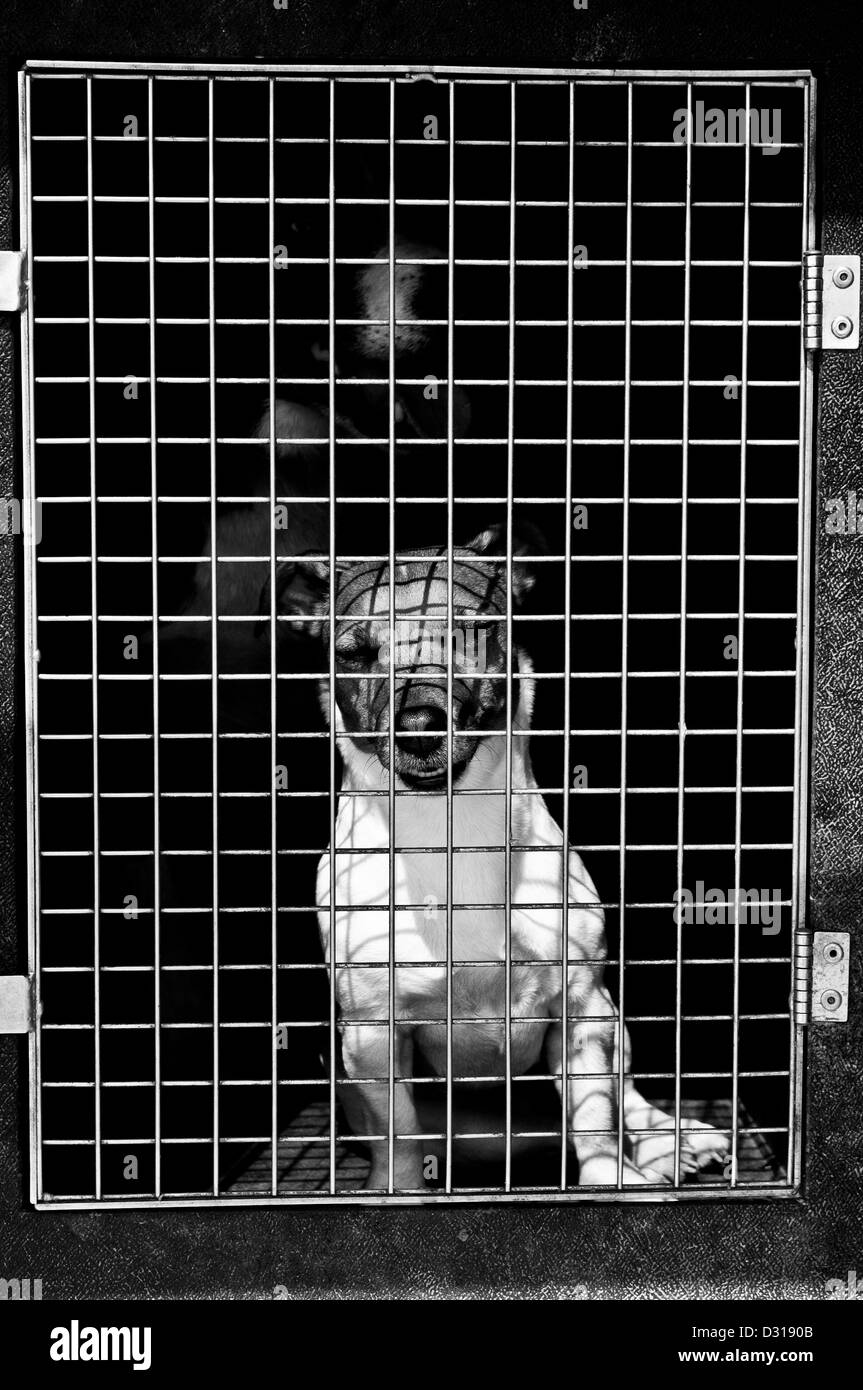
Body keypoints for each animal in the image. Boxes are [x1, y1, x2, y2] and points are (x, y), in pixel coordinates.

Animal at [269, 525, 728, 1189]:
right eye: (353, 653)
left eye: (472, 634)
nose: (418, 725)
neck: (451, 833)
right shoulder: (371, 1035)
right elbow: (398, 1131)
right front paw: (396, 1190)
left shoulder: (580, 1008)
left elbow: (594, 1118)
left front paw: (605, 1179)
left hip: (613, 1022)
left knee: (627, 1099)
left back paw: (671, 1141)